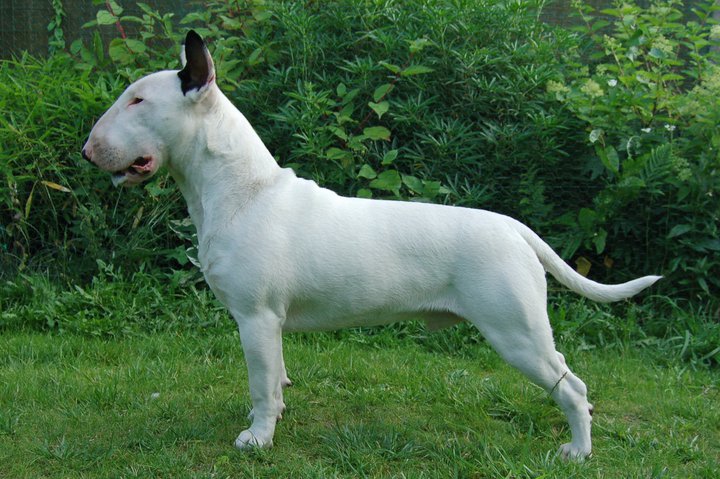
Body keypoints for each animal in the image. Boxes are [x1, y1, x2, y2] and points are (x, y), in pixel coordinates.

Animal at [82, 30, 661, 460]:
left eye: (137, 100)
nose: (87, 152)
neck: (241, 191)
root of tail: (514, 228)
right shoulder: (271, 325)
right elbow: (277, 380)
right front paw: (272, 418)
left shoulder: (256, 318)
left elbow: (260, 384)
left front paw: (257, 438)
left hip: (516, 331)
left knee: (572, 388)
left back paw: (577, 452)